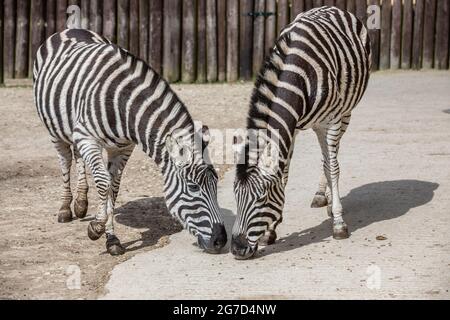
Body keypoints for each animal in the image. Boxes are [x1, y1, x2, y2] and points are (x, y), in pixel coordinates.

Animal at [33, 28, 227, 256]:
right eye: (193, 187)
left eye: (215, 184)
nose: (221, 241)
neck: (123, 104)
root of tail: (73, 29)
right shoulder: (87, 137)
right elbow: (103, 182)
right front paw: (96, 228)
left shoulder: (124, 147)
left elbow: (113, 187)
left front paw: (112, 239)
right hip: (55, 129)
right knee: (65, 160)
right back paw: (65, 209)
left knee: (78, 156)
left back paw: (81, 204)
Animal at [230, 6, 370, 258]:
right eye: (235, 195)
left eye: (262, 198)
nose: (237, 249)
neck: (296, 75)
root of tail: (331, 7)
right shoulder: (291, 127)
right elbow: (284, 174)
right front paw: (271, 231)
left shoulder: (334, 119)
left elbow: (333, 168)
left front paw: (339, 224)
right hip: (318, 123)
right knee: (325, 156)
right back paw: (322, 196)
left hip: (344, 115)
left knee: (331, 158)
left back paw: (330, 203)